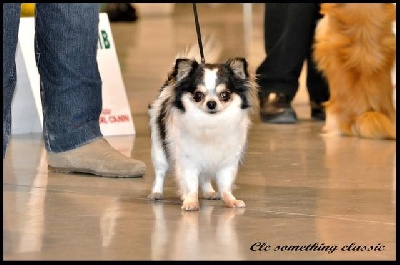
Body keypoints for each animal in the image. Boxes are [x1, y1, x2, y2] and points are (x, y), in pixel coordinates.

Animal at [147, 37, 256, 210]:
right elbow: (191, 184)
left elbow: (225, 185)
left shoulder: (227, 162)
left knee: (205, 177)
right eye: (198, 95)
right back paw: (157, 193)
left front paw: (230, 200)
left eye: (224, 95)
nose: (211, 103)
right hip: (159, 150)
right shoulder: (188, 160)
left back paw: (209, 192)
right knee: (160, 173)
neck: (210, 123)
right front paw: (191, 201)